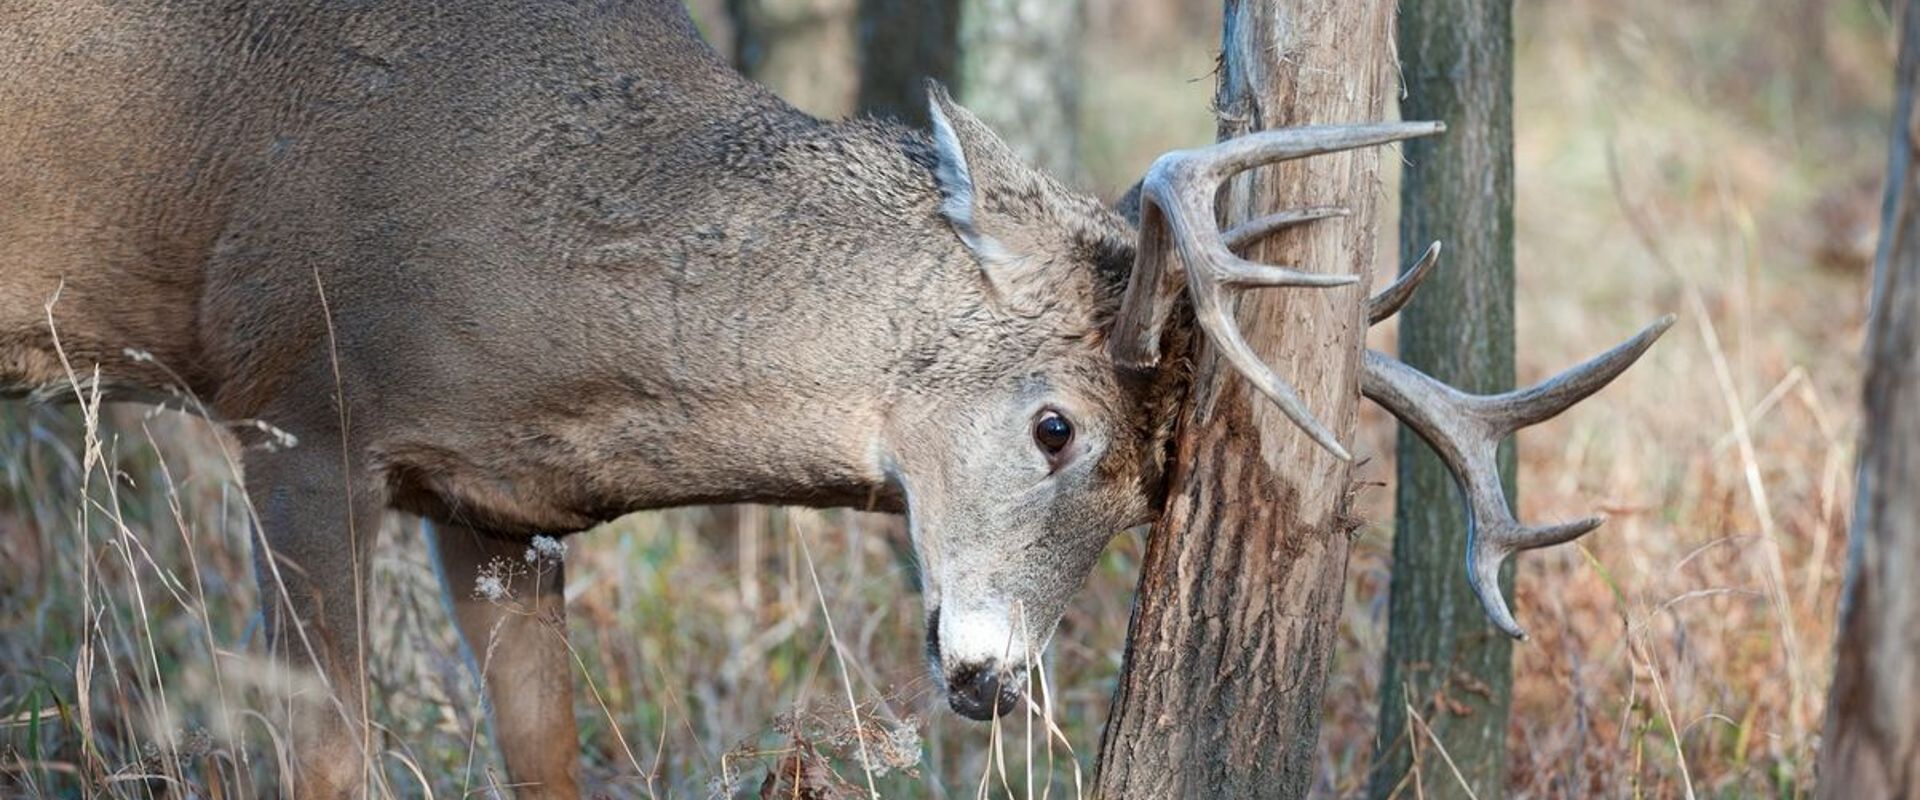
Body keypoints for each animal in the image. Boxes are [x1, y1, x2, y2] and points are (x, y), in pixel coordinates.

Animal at [0, 1, 1671, 797]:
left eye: (1159, 491)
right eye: (1055, 424)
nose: (994, 678)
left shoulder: (492, 503)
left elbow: (553, 759)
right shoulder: (297, 405)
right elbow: (323, 758)